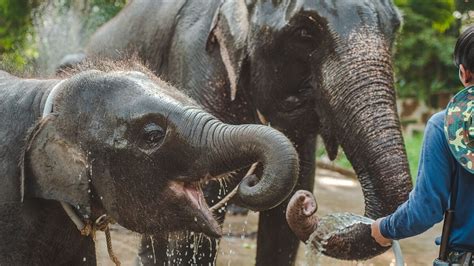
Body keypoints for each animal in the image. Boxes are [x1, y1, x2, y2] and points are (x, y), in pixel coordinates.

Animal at [64, 0, 414, 262]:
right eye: (305, 33)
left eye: (396, 29)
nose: (308, 204)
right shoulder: (199, 59)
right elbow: (194, 216)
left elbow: (282, 225)